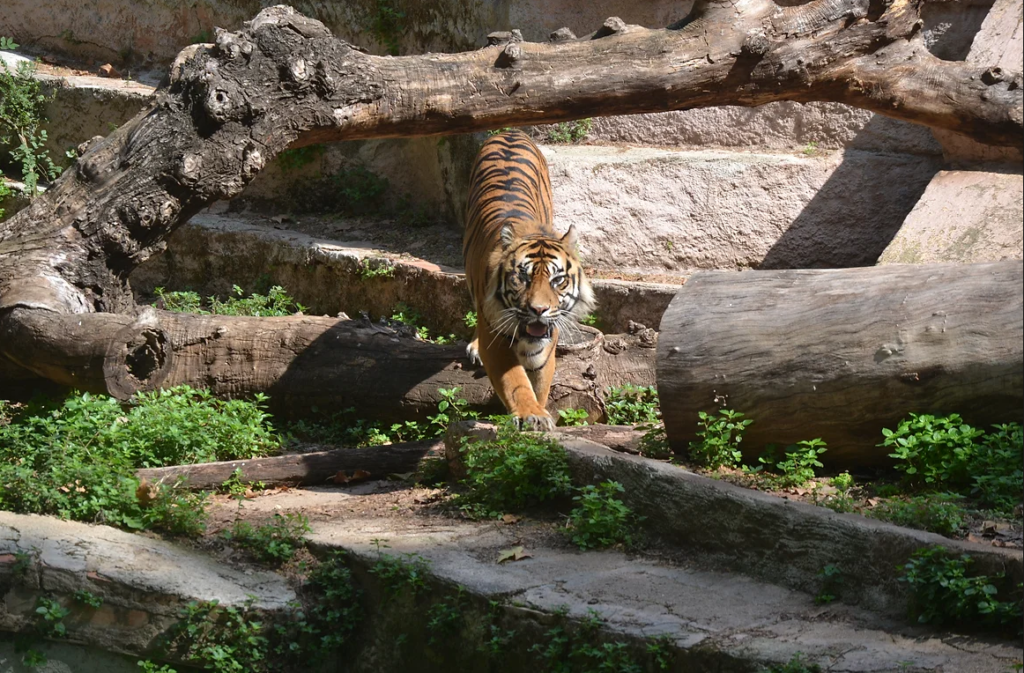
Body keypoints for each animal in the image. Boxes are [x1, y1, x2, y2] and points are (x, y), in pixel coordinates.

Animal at [462, 128, 598, 428]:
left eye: (557, 280)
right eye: (521, 277)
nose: (538, 310)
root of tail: (510, 131)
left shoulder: (545, 346)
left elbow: (540, 383)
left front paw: (540, 410)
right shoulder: (495, 338)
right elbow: (515, 381)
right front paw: (531, 414)